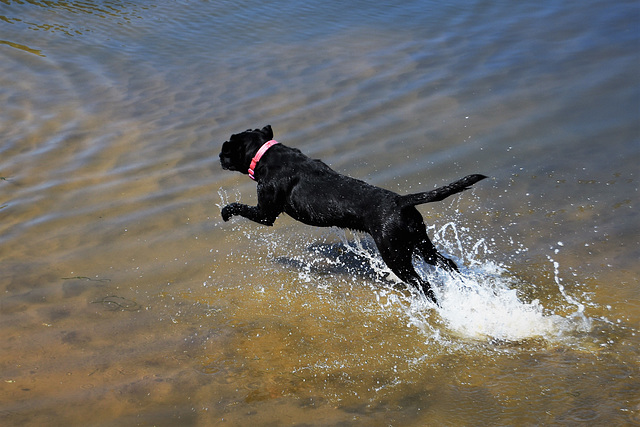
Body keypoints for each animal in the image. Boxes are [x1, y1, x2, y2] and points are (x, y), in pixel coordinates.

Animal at [220, 125, 484, 302]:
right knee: (446, 263)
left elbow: (238, 207)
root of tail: (401, 201)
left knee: (423, 283)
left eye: (227, 149)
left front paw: (225, 211)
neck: (265, 154)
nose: (219, 156)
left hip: (395, 254)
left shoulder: (265, 214)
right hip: (419, 242)